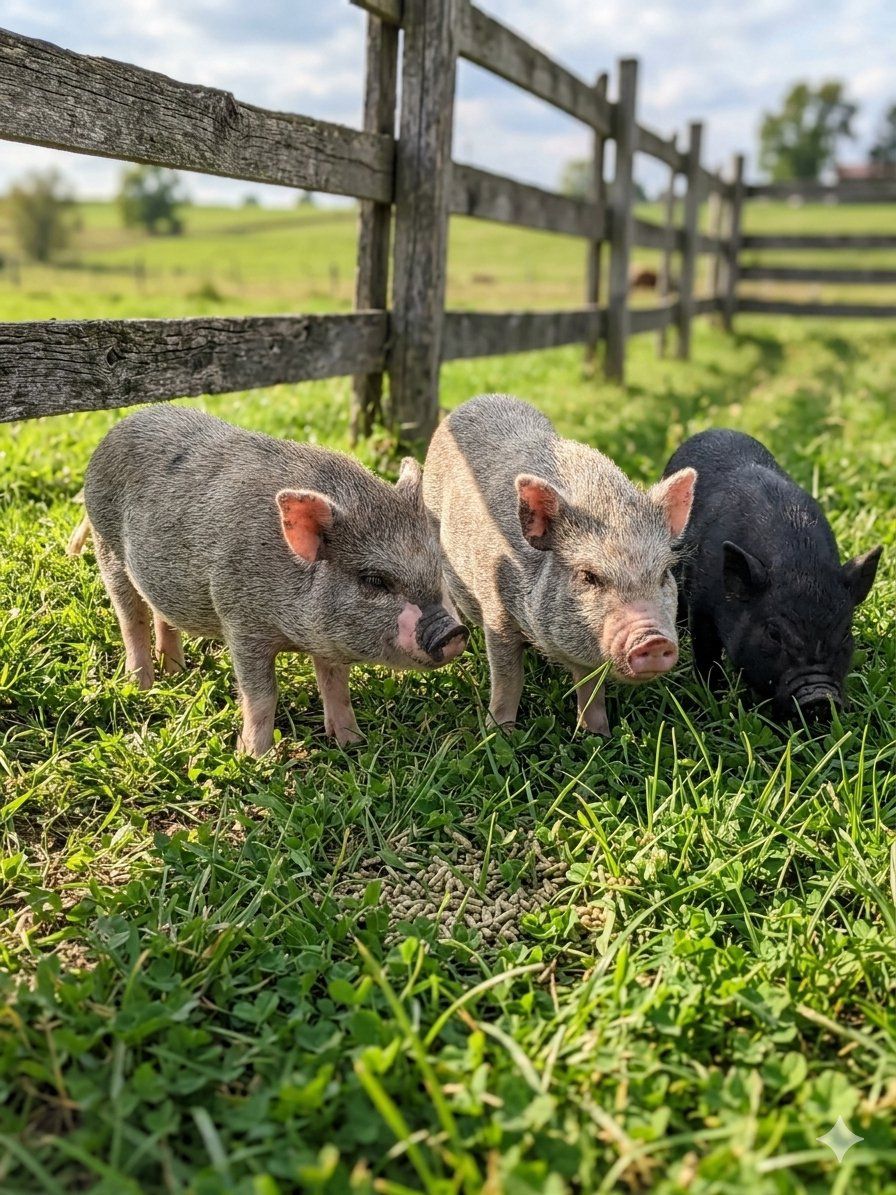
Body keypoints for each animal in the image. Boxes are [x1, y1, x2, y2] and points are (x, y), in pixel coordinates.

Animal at [68, 406, 468, 756]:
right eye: (375, 580)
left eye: (438, 566)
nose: (452, 631)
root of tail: (117, 428)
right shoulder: (240, 621)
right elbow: (261, 695)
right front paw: (256, 758)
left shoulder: (327, 640)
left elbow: (336, 686)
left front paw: (354, 744)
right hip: (106, 545)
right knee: (130, 617)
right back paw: (141, 686)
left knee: (160, 613)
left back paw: (176, 672)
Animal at [422, 395, 697, 734]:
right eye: (589, 576)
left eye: (663, 574)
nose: (654, 639)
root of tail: (476, 400)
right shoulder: (497, 611)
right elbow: (508, 678)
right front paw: (499, 734)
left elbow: (591, 689)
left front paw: (597, 735)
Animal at [663, 428, 882, 722]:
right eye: (773, 634)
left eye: (846, 632)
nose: (820, 696)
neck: (799, 567)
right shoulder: (701, 600)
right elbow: (706, 651)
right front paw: (713, 697)